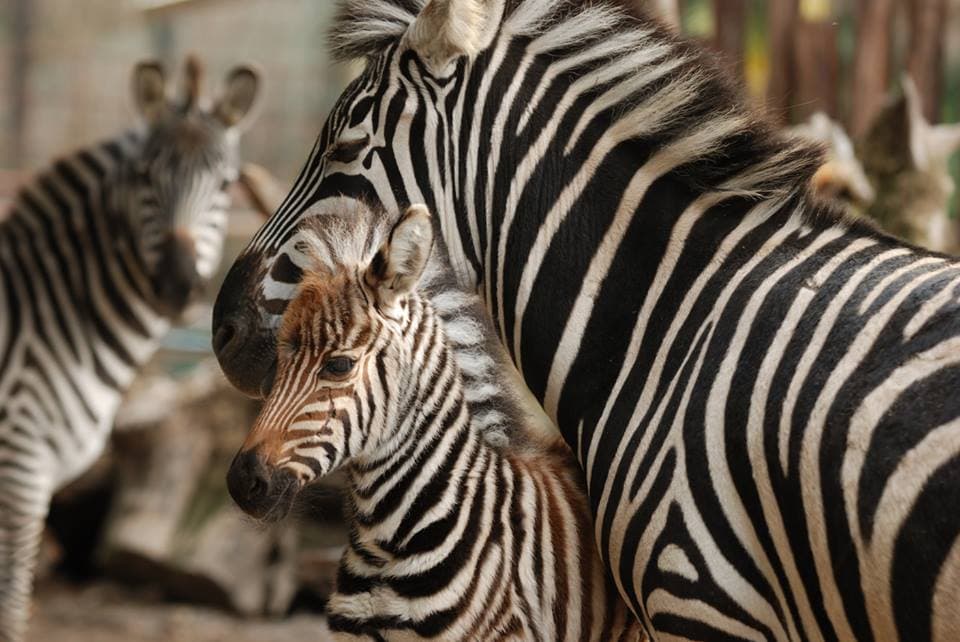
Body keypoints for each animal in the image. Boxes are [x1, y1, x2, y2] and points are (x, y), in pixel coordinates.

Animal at [0, 57, 260, 642]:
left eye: (226, 184)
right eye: (145, 177)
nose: (179, 287)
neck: (46, 317)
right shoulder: (20, 467)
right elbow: (11, 601)